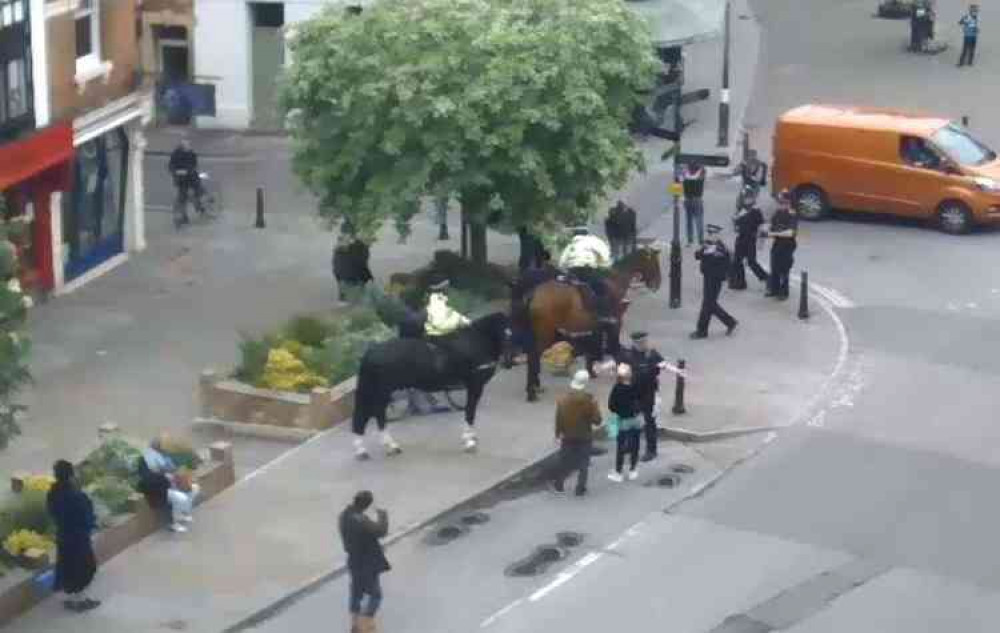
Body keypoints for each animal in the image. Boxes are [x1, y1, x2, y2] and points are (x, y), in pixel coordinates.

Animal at [350, 312, 508, 456]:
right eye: (507, 333)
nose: (509, 361)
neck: (476, 340)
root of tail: (370, 353)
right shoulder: (475, 385)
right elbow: (470, 412)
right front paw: (469, 441)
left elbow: (470, 411)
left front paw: (471, 437)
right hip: (382, 392)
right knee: (376, 414)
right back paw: (386, 446)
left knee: (367, 415)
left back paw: (365, 449)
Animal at [528, 247, 660, 400]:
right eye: (654, 263)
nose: (657, 284)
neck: (616, 280)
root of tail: (535, 295)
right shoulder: (615, 323)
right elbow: (614, 347)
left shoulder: (596, 326)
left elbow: (593, 347)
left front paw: (590, 371)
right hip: (546, 333)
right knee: (533, 357)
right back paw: (531, 392)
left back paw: (535, 386)